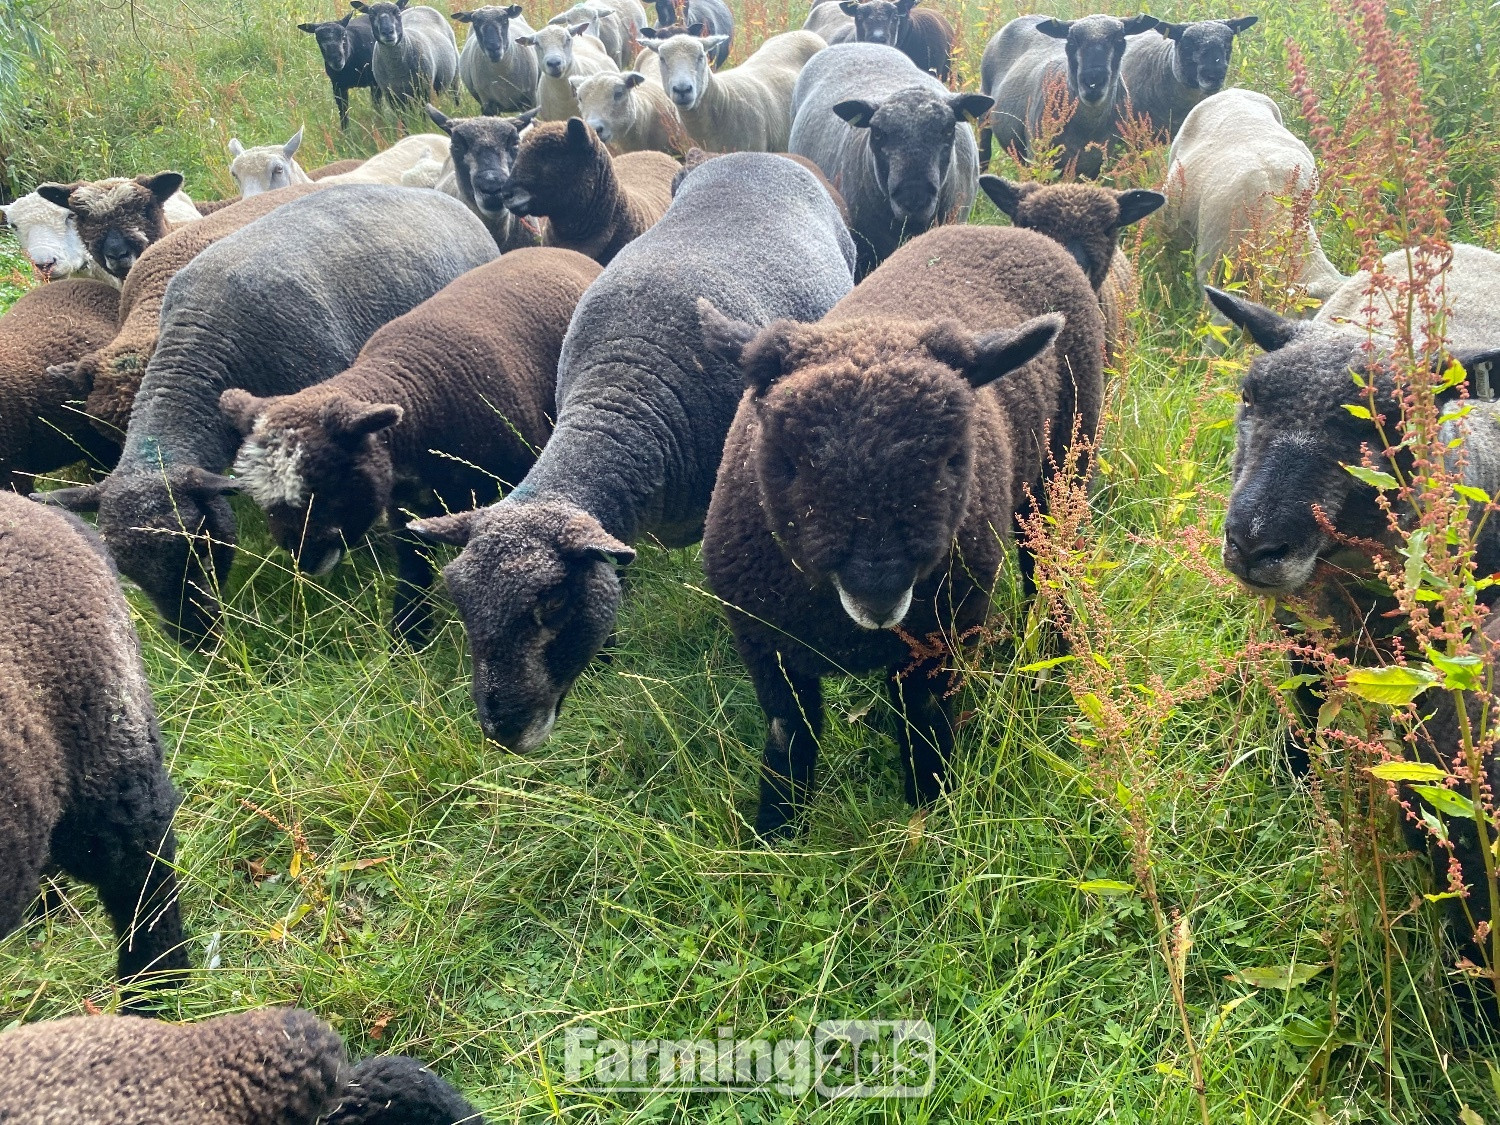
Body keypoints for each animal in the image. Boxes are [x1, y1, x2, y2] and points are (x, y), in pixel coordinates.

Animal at [221, 247, 600, 641]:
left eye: (328, 480)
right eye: (262, 500)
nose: (306, 557)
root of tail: (557, 249)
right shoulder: (404, 508)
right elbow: (412, 568)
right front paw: (408, 636)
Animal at [698, 223, 1103, 838]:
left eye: (953, 458)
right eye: (787, 462)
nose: (878, 592)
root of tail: (1007, 229)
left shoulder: (940, 634)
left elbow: (923, 722)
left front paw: (932, 809)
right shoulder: (765, 642)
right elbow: (788, 732)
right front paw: (777, 829)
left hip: (1062, 468)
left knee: (1047, 561)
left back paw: (1055, 647)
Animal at [980, 13, 1160, 178]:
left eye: (1119, 40)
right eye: (1071, 41)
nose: (1093, 82)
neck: (1088, 128)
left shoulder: (1097, 164)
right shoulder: (1039, 157)